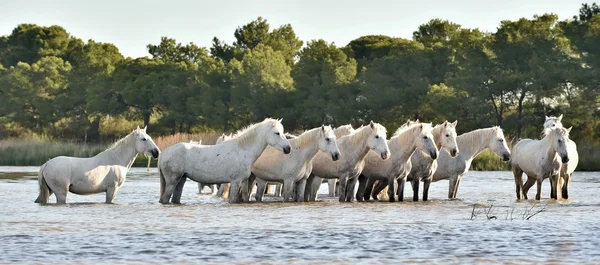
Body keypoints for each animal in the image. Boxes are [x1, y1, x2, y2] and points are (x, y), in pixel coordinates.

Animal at [158, 117, 292, 202]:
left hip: (181, 179)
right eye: (277, 133)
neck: (243, 150)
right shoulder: (235, 181)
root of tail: (163, 154)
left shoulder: (243, 182)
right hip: (172, 180)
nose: (288, 148)